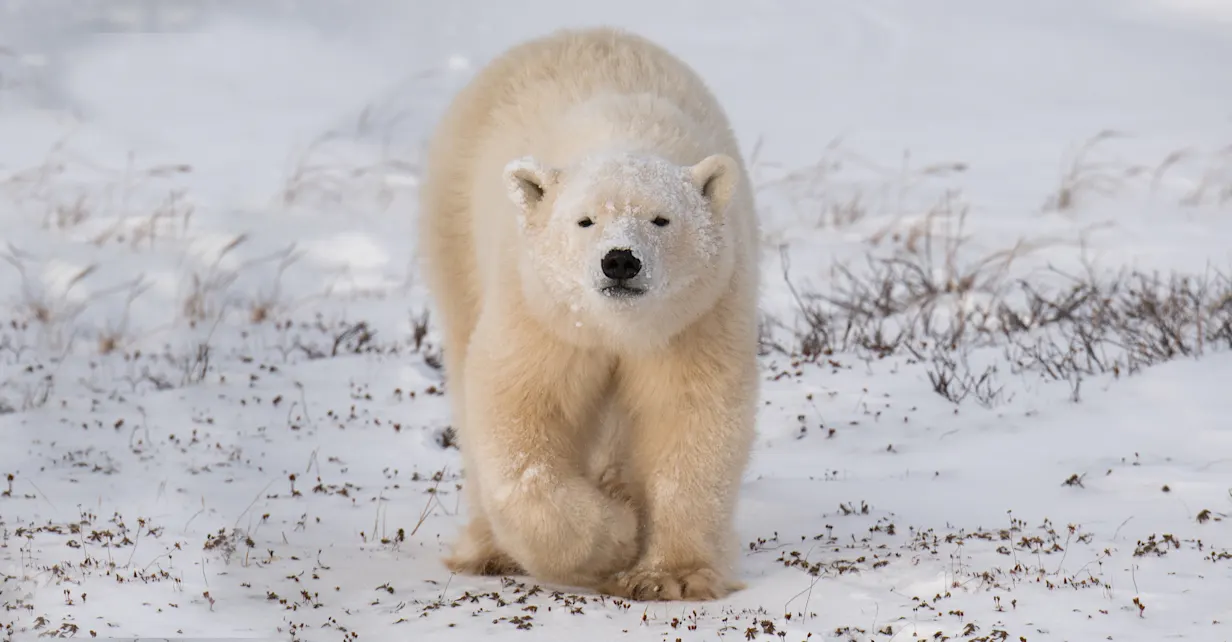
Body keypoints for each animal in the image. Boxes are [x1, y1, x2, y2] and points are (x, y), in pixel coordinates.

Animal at [415, 26, 760, 602]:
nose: (620, 260)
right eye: (585, 221)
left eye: (661, 219)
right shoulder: (542, 312)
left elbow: (689, 417)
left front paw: (668, 575)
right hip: (456, 232)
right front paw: (617, 535)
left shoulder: (695, 318)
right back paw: (489, 549)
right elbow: (520, 416)